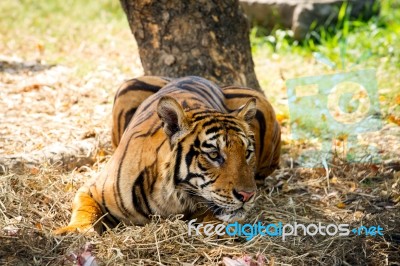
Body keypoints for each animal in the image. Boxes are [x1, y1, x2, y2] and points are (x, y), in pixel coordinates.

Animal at [54, 76, 282, 234]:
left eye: (248, 153)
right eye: (214, 154)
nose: (247, 196)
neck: (170, 196)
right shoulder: (90, 190)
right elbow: (85, 211)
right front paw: (74, 232)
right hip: (127, 88)